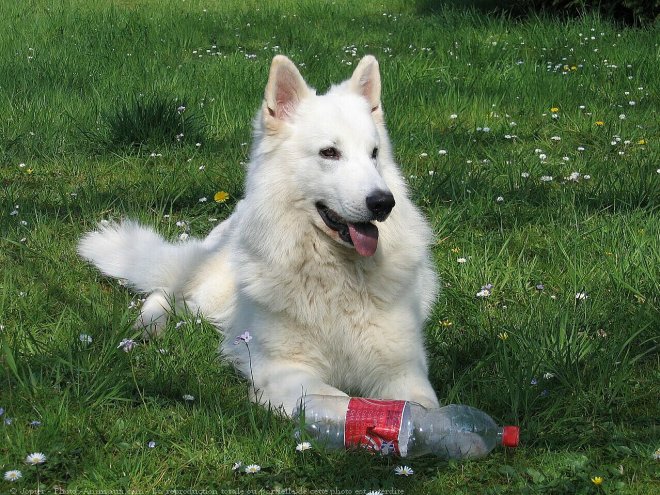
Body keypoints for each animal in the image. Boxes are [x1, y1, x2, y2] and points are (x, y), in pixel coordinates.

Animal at [78, 55, 438, 414]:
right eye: (329, 153)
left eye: (374, 154)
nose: (383, 203)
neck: (336, 275)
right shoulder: (284, 368)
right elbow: (338, 401)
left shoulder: (403, 369)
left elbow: (422, 407)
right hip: (210, 296)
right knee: (167, 292)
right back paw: (148, 325)